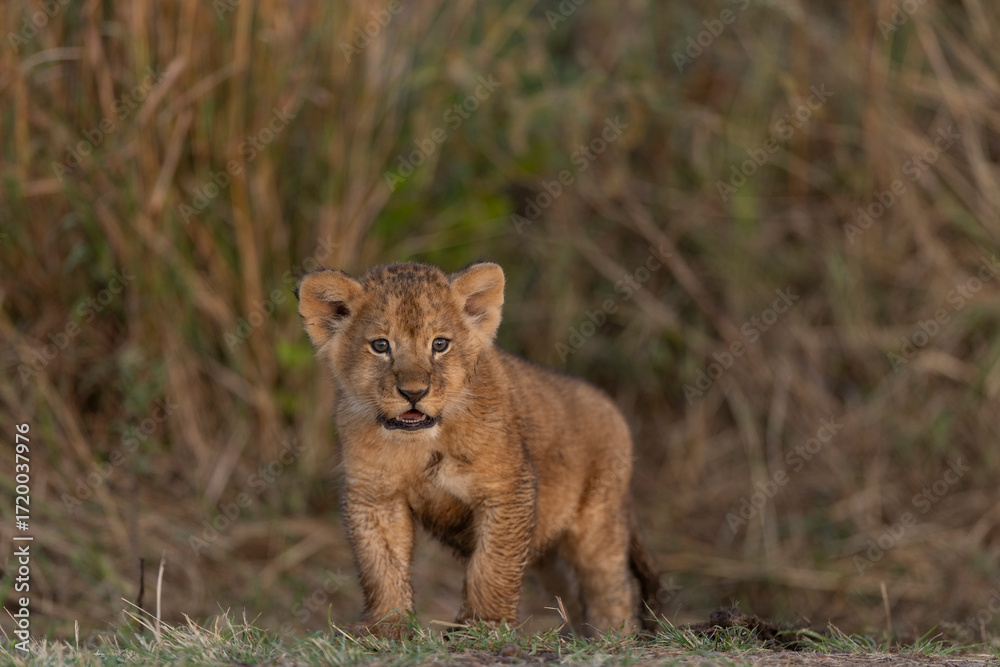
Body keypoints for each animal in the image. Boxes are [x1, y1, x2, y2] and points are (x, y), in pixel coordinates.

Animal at [296, 261, 663, 638]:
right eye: (381, 345)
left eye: (440, 344)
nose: (414, 392)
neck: (421, 444)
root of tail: (610, 404)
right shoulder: (374, 496)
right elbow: (382, 567)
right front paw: (386, 627)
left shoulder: (507, 489)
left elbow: (492, 566)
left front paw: (484, 625)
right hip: (549, 552)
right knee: (571, 594)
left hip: (598, 522)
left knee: (610, 587)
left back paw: (612, 637)